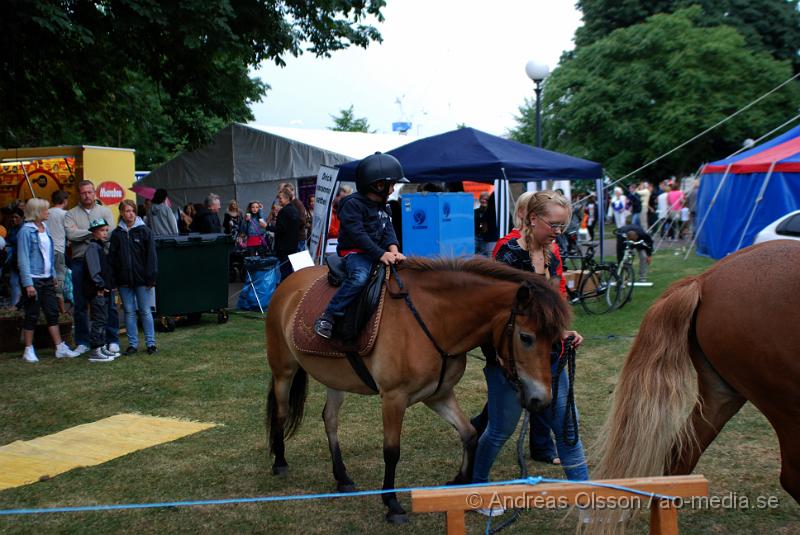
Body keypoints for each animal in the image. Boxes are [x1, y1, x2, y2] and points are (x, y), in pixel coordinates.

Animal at [268, 255, 568, 524]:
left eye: (555, 339)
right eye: (526, 337)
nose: (542, 399)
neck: (434, 320)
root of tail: (288, 283)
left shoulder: (438, 395)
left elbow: (470, 434)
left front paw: (458, 482)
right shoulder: (393, 397)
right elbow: (392, 451)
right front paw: (392, 504)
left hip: (335, 380)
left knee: (329, 419)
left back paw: (342, 478)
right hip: (283, 371)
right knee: (280, 413)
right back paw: (279, 462)